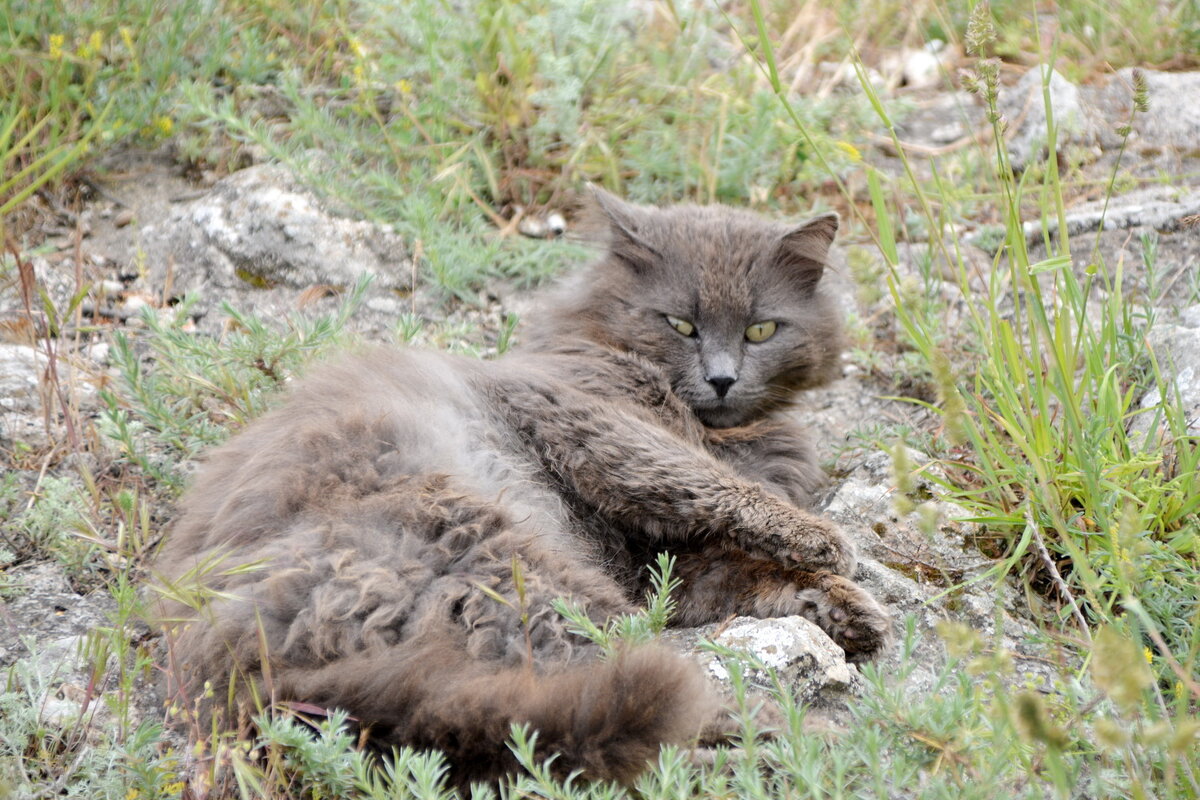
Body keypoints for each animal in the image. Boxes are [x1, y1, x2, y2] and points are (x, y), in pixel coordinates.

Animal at [152, 188, 892, 786]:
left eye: (762, 329)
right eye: (680, 325)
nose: (721, 378)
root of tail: (237, 659)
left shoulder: (669, 564)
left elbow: (750, 572)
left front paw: (847, 608)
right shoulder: (582, 416)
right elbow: (700, 479)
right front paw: (825, 541)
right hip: (521, 567)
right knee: (643, 698)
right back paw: (806, 740)